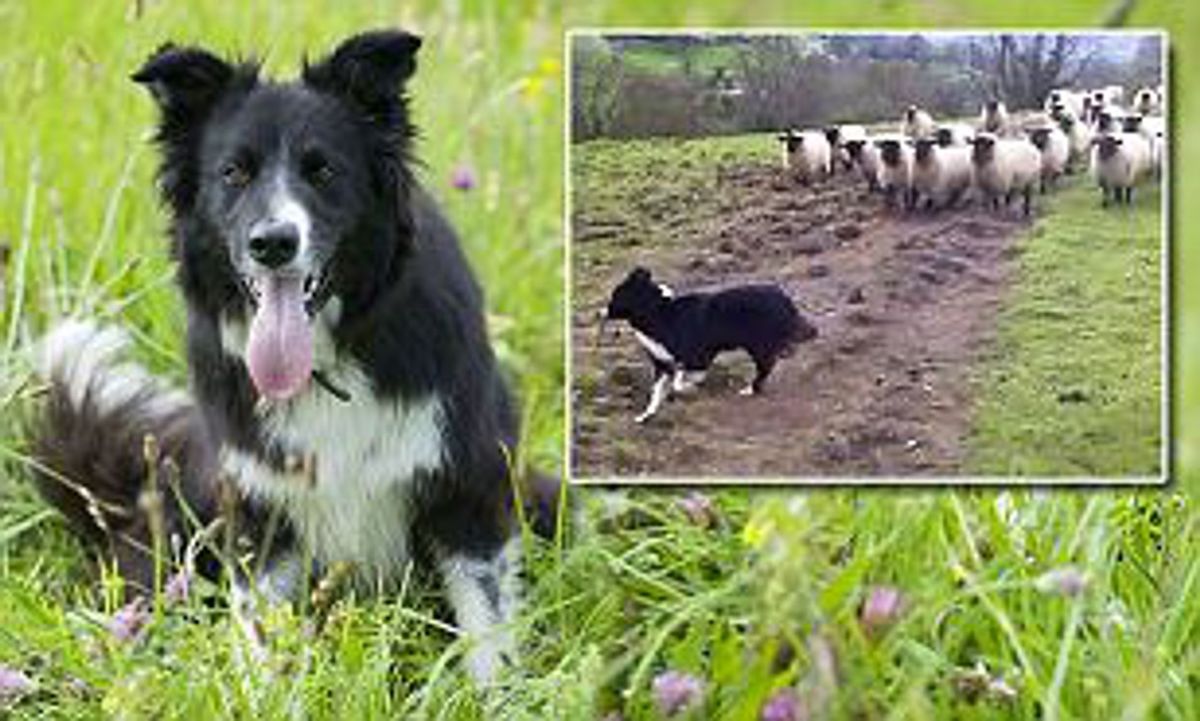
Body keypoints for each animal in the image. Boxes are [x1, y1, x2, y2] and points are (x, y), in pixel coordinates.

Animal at [32, 29, 549, 681]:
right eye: (232, 173)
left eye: (323, 170)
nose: (273, 243)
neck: (331, 359)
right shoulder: (259, 513)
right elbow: (258, 635)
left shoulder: (469, 489)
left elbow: (486, 630)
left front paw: (493, 693)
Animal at [600, 267, 816, 419]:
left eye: (615, 297)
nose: (599, 312)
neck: (659, 313)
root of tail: (783, 297)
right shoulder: (663, 363)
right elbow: (656, 391)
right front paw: (647, 415)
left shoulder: (698, 356)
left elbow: (680, 381)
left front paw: (690, 387)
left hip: (757, 344)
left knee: (766, 367)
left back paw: (750, 389)